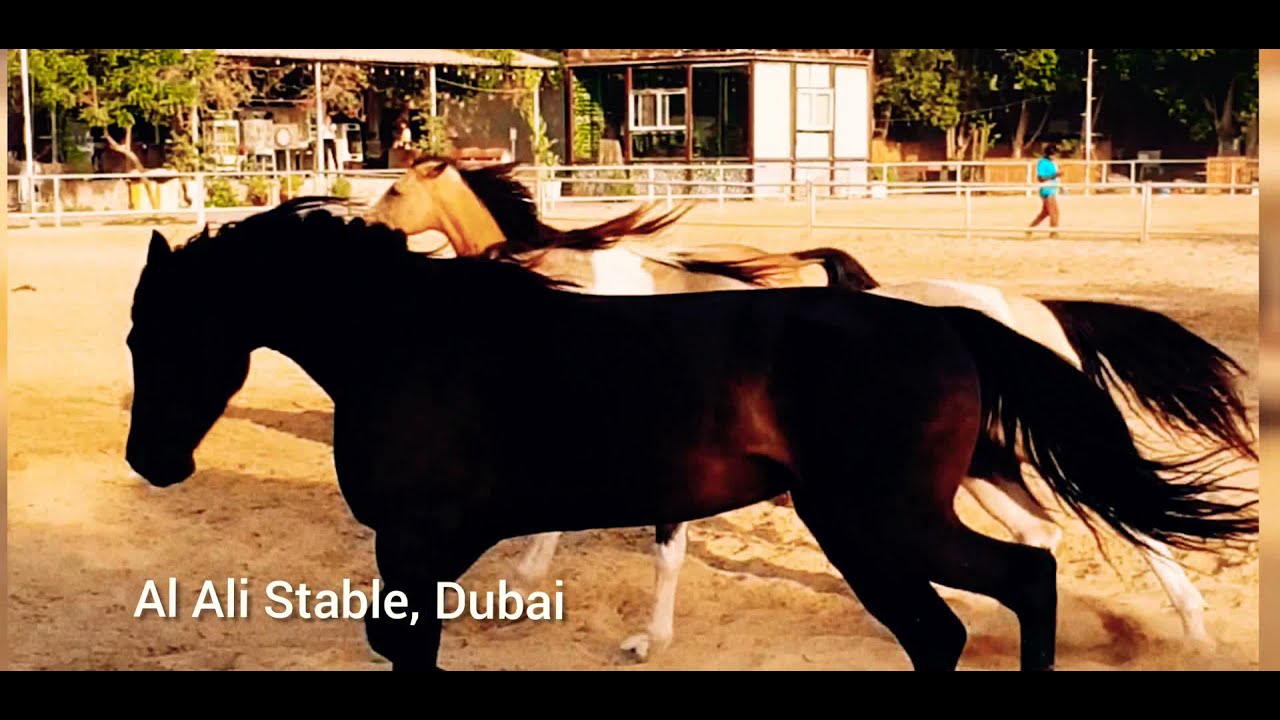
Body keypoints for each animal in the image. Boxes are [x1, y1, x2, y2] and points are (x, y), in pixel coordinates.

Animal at [124, 199, 1256, 672]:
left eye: (152, 333)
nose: (149, 461)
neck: (411, 337)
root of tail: (952, 320)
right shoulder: (443, 546)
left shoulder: (414, 541)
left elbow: (405, 643)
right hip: (934, 500)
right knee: (1017, 578)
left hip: (882, 521)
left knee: (1024, 578)